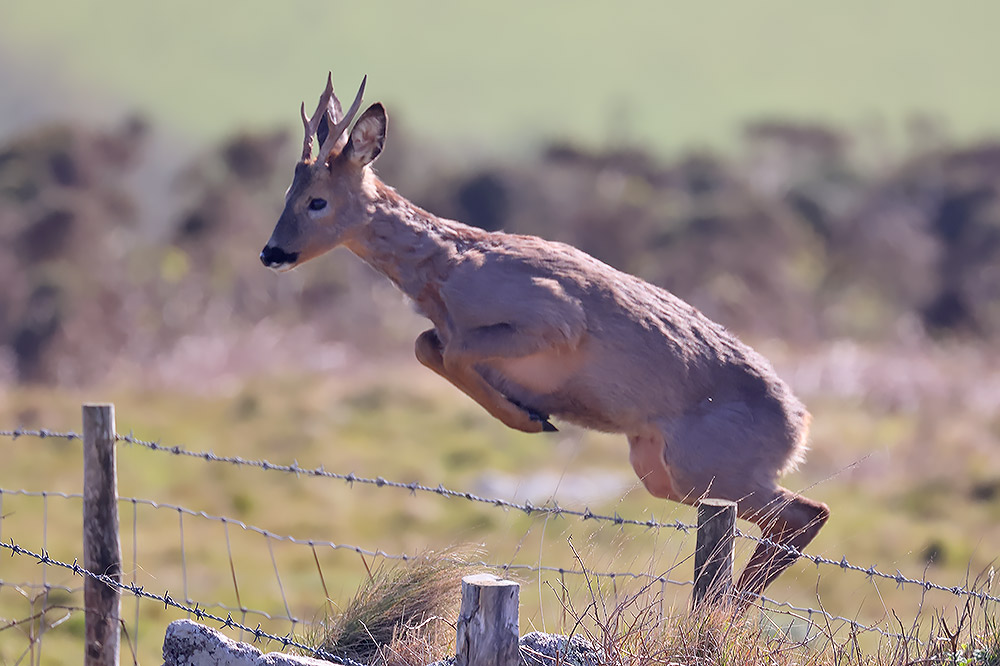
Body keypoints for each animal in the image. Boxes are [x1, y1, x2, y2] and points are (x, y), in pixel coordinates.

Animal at [260, 73, 830, 602]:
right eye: (286, 194)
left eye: (317, 201)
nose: (271, 253)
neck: (448, 270)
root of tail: (799, 425)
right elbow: (427, 346)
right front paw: (530, 411)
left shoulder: (555, 316)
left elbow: (454, 349)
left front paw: (532, 417)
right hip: (660, 468)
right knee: (790, 517)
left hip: (707, 464)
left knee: (808, 511)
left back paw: (726, 609)